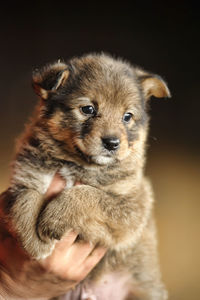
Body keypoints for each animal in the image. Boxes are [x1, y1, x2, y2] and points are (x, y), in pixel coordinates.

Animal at [1, 52, 170, 298]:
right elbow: (24, 199)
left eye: (127, 116)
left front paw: (53, 219)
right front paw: (36, 244)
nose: (112, 143)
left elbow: (88, 195)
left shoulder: (132, 205)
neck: (75, 162)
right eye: (88, 109)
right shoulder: (23, 178)